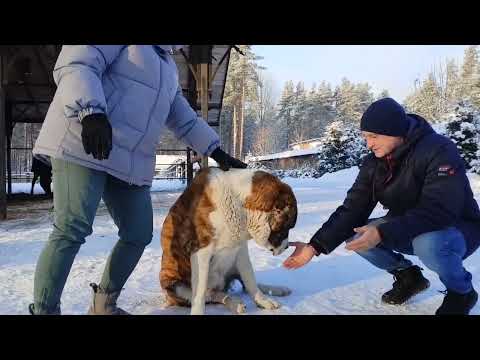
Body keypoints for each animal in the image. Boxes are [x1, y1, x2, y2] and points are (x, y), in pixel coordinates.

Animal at [160, 167, 296, 314]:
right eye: (288, 227)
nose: (287, 246)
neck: (239, 205)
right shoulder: (201, 250)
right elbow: (200, 293)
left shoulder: (241, 249)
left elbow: (250, 278)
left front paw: (263, 301)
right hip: (174, 284)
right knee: (210, 295)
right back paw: (234, 303)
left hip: (232, 266)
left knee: (240, 285)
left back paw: (275, 291)